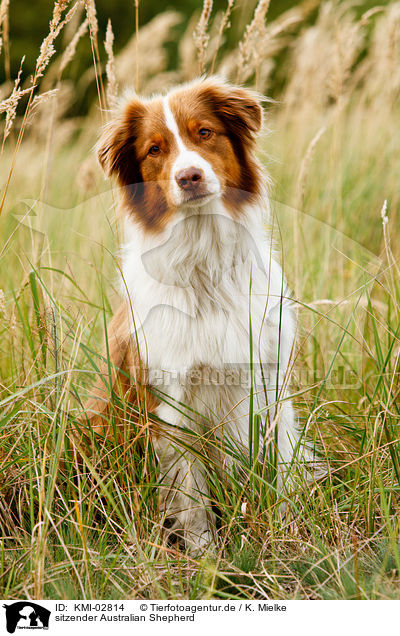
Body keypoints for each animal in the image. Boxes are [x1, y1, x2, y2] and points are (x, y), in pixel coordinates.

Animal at [83, 74, 318, 552]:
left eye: (204, 132)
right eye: (154, 149)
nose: (188, 176)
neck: (205, 265)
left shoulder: (270, 381)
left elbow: (282, 467)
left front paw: (288, 533)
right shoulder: (172, 402)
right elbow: (191, 496)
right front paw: (205, 556)